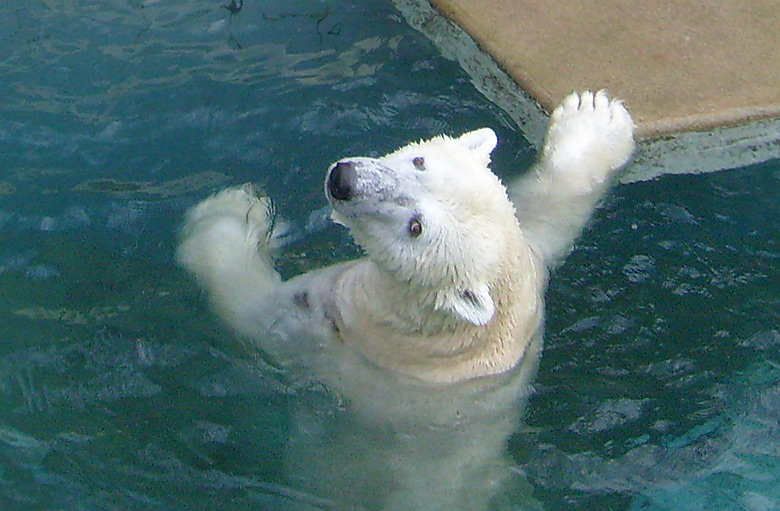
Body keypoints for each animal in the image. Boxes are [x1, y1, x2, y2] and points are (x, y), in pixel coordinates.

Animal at [177, 90, 632, 510]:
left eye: (416, 227)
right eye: (419, 161)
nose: (345, 180)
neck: (443, 337)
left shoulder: (335, 330)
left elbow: (252, 305)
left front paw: (232, 212)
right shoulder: (528, 267)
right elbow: (542, 214)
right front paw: (596, 121)